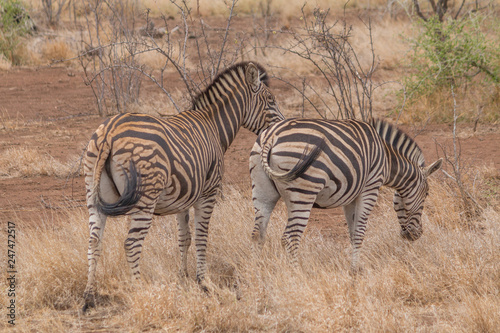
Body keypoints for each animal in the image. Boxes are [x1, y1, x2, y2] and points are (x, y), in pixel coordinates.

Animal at [82, 60, 286, 312]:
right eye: (270, 100)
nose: (282, 127)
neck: (214, 126)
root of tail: (109, 132)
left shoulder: (183, 197)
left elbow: (184, 238)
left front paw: (182, 278)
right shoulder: (208, 193)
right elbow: (201, 236)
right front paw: (204, 282)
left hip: (93, 192)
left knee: (94, 240)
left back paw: (89, 296)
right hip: (144, 197)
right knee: (131, 244)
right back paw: (140, 291)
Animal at [250, 116, 442, 270]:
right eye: (427, 195)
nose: (416, 235)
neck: (387, 160)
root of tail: (271, 136)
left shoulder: (350, 197)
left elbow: (352, 232)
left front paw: (355, 266)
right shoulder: (370, 188)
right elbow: (360, 232)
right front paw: (355, 271)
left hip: (262, 190)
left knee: (257, 235)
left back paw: (258, 273)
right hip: (303, 192)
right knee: (290, 238)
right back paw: (296, 274)